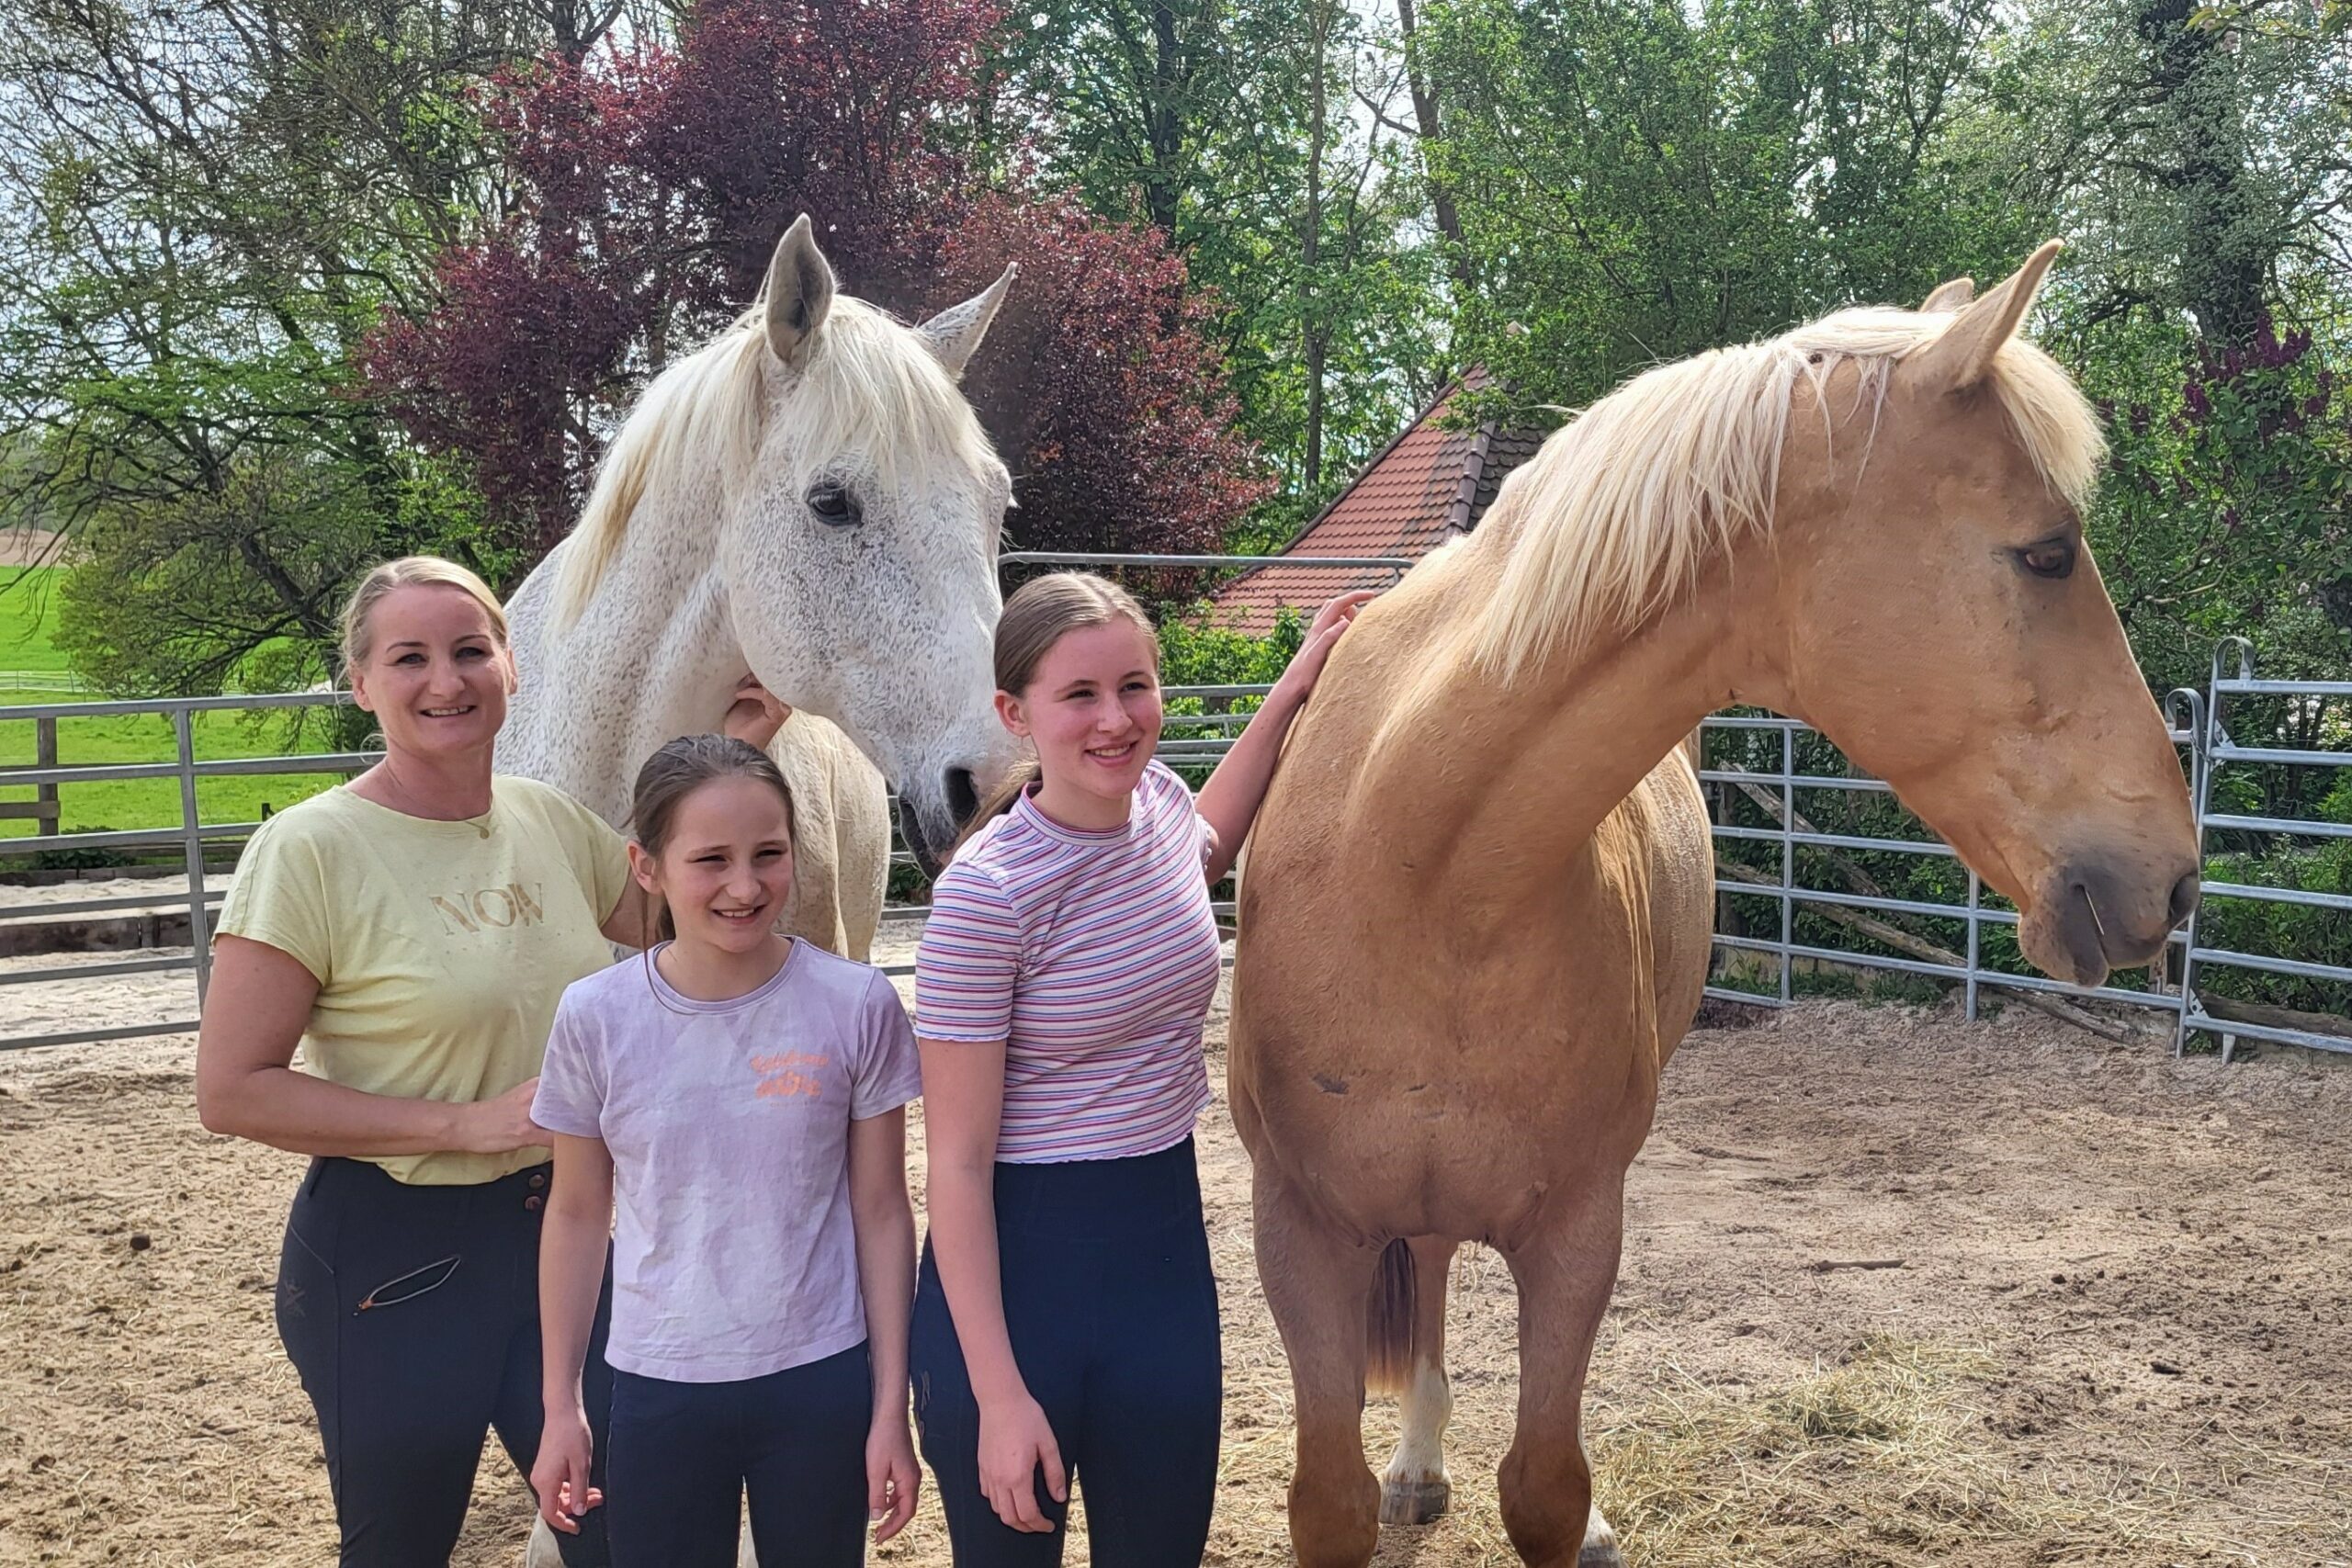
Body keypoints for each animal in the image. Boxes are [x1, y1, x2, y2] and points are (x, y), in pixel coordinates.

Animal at [1232, 240, 2201, 1561]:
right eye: (2048, 551)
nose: (2177, 874)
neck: (1424, 873)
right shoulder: (1299, 1234)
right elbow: (1326, 1498)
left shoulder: (1578, 1234)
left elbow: (1547, 1484)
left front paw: (1573, 1516)